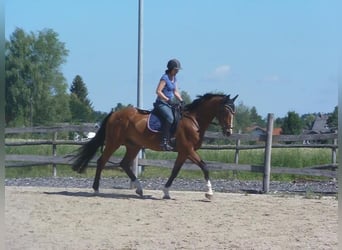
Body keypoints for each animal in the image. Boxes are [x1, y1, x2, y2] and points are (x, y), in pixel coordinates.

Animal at [72, 93, 238, 200]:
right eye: (225, 110)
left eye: (234, 112)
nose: (229, 132)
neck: (194, 120)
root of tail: (114, 114)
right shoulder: (189, 150)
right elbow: (205, 167)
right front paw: (209, 193)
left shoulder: (183, 152)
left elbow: (175, 171)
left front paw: (166, 192)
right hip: (114, 142)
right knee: (102, 161)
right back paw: (96, 189)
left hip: (134, 146)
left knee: (124, 163)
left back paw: (139, 189)